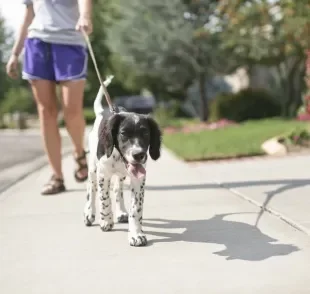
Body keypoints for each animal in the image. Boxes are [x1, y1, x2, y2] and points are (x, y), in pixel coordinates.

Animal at [84, 76, 162, 246]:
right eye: (123, 133)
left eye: (146, 133)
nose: (139, 155)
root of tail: (102, 112)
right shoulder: (103, 174)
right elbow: (104, 198)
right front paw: (106, 220)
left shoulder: (138, 178)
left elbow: (136, 209)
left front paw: (136, 234)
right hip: (93, 168)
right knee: (91, 189)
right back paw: (89, 214)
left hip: (122, 175)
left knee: (117, 189)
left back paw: (120, 212)